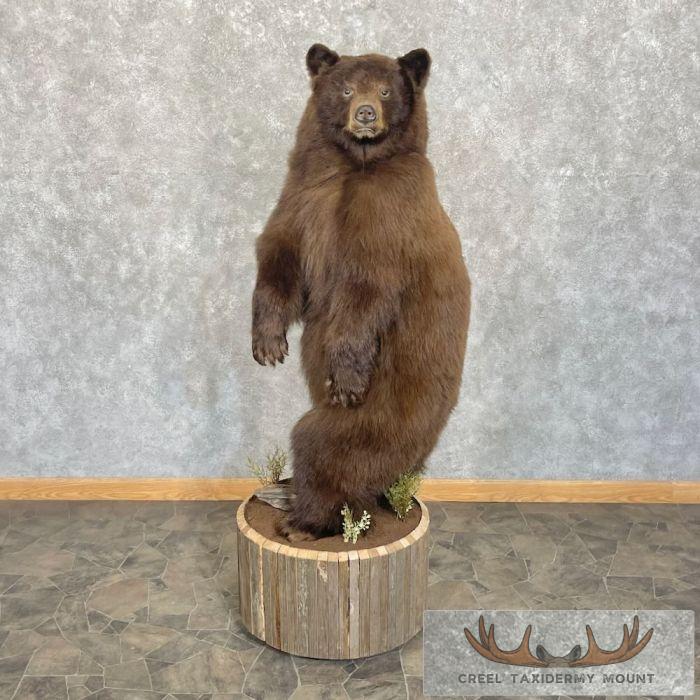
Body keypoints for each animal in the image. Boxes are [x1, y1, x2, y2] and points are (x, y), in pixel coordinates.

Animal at [252, 44, 470, 541]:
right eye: (347, 88)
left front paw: (346, 374)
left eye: (386, 90)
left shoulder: (388, 212)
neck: (354, 167)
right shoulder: (303, 194)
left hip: (376, 417)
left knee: (327, 451)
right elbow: (280, 253)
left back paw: (303, 519)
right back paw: (281, 495)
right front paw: (267, 343)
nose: (366, 114)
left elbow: (365, 290)